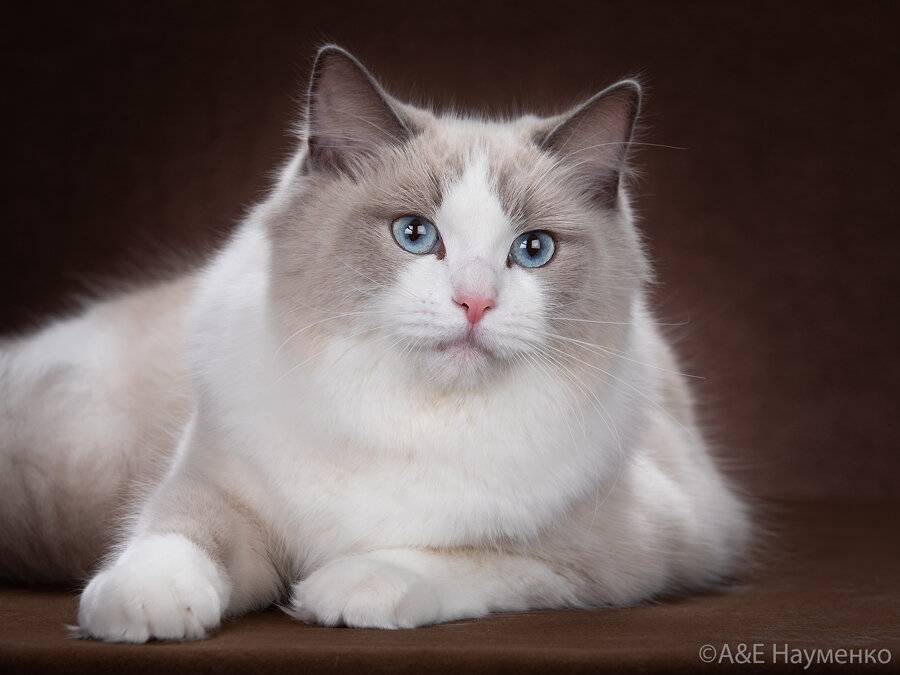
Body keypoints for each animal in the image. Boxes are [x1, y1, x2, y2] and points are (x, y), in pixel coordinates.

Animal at [0, 45, 748, 640]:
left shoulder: (623, 550)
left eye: (533, 250)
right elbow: (174, 531)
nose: (475, 302)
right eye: (414, 234)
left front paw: (340, 592)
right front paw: (144, 605)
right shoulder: (219, 490)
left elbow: (463, 556)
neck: (408, 413)